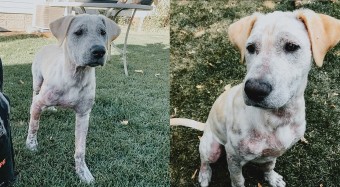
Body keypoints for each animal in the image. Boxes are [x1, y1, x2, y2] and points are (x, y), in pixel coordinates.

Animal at [25, 14, 121, 183]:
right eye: (78, 32)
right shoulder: (39, 103)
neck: (75, 77)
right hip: (37, 81)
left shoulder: (83, 115)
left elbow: (80, 149)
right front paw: (31, 144)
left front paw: (83, 172)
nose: (99, 51)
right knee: (34, 95)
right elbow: (34, 125)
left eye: (103, 32)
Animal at [171, 9, 340, 187]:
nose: (254, 89)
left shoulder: (273, 153)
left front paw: (272, 178)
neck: (276, 118)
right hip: (212, 148)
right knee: (204, 160)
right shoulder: (233, 157)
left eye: (292, 46)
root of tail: (206, 125)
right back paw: (204, 175)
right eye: (250, 48)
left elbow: (269, 166)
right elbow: (238, 180)